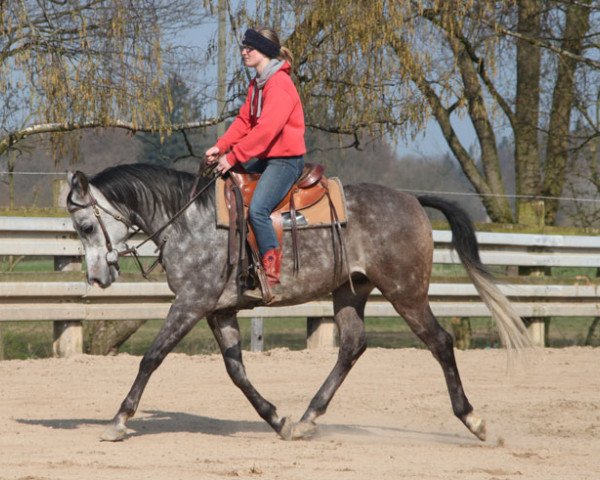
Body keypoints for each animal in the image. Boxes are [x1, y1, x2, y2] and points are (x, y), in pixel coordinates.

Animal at [67, 164, 528, 442]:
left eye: (86, 225)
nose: (97, 277)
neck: (188, 221)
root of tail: (412, 200)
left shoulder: (191, 304)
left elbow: (152, 357)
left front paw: (118, 420)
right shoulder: (219, 311)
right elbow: (237, 372)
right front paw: (278, 419)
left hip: (406, 292)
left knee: (440, 342)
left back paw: (474, 420)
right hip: (351, 291)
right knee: (352, 346)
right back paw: (308, 417)